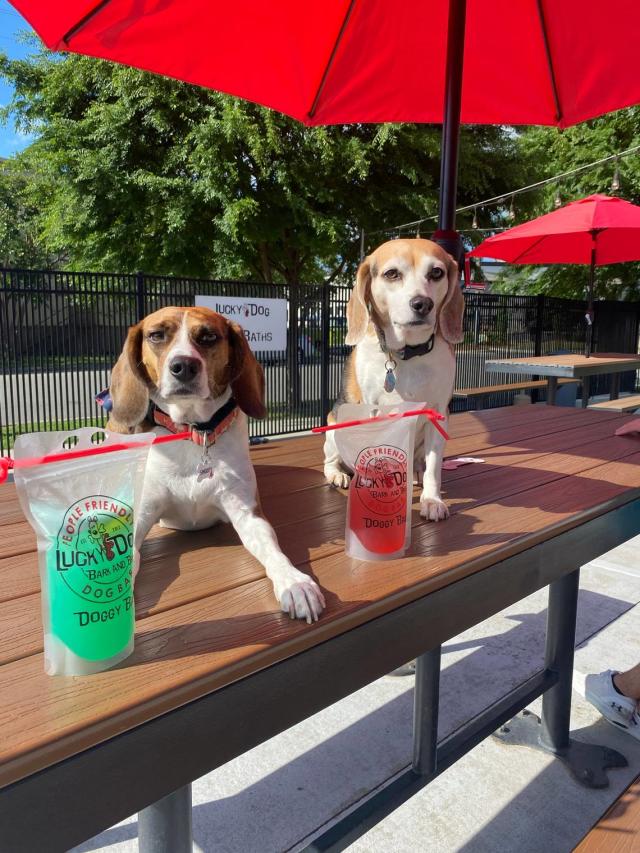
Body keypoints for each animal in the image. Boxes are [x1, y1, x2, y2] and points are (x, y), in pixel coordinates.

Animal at [109, 302, 324, 624]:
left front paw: (294, 582)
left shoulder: (249, 515)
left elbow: (274, 552)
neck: (194, 432)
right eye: (157, 335)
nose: (184, 366)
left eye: (209, 336)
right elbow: (128, 556)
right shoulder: (141, 514)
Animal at [322, 238, 462, 520]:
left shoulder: (438, 415)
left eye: (436, 272)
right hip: (334, 426)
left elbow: (434, 468)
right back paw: (339, 475)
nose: (423, 303)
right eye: (392, 274)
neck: (408, 355)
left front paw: (432, 500)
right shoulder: (374, 413)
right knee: (329, 462)